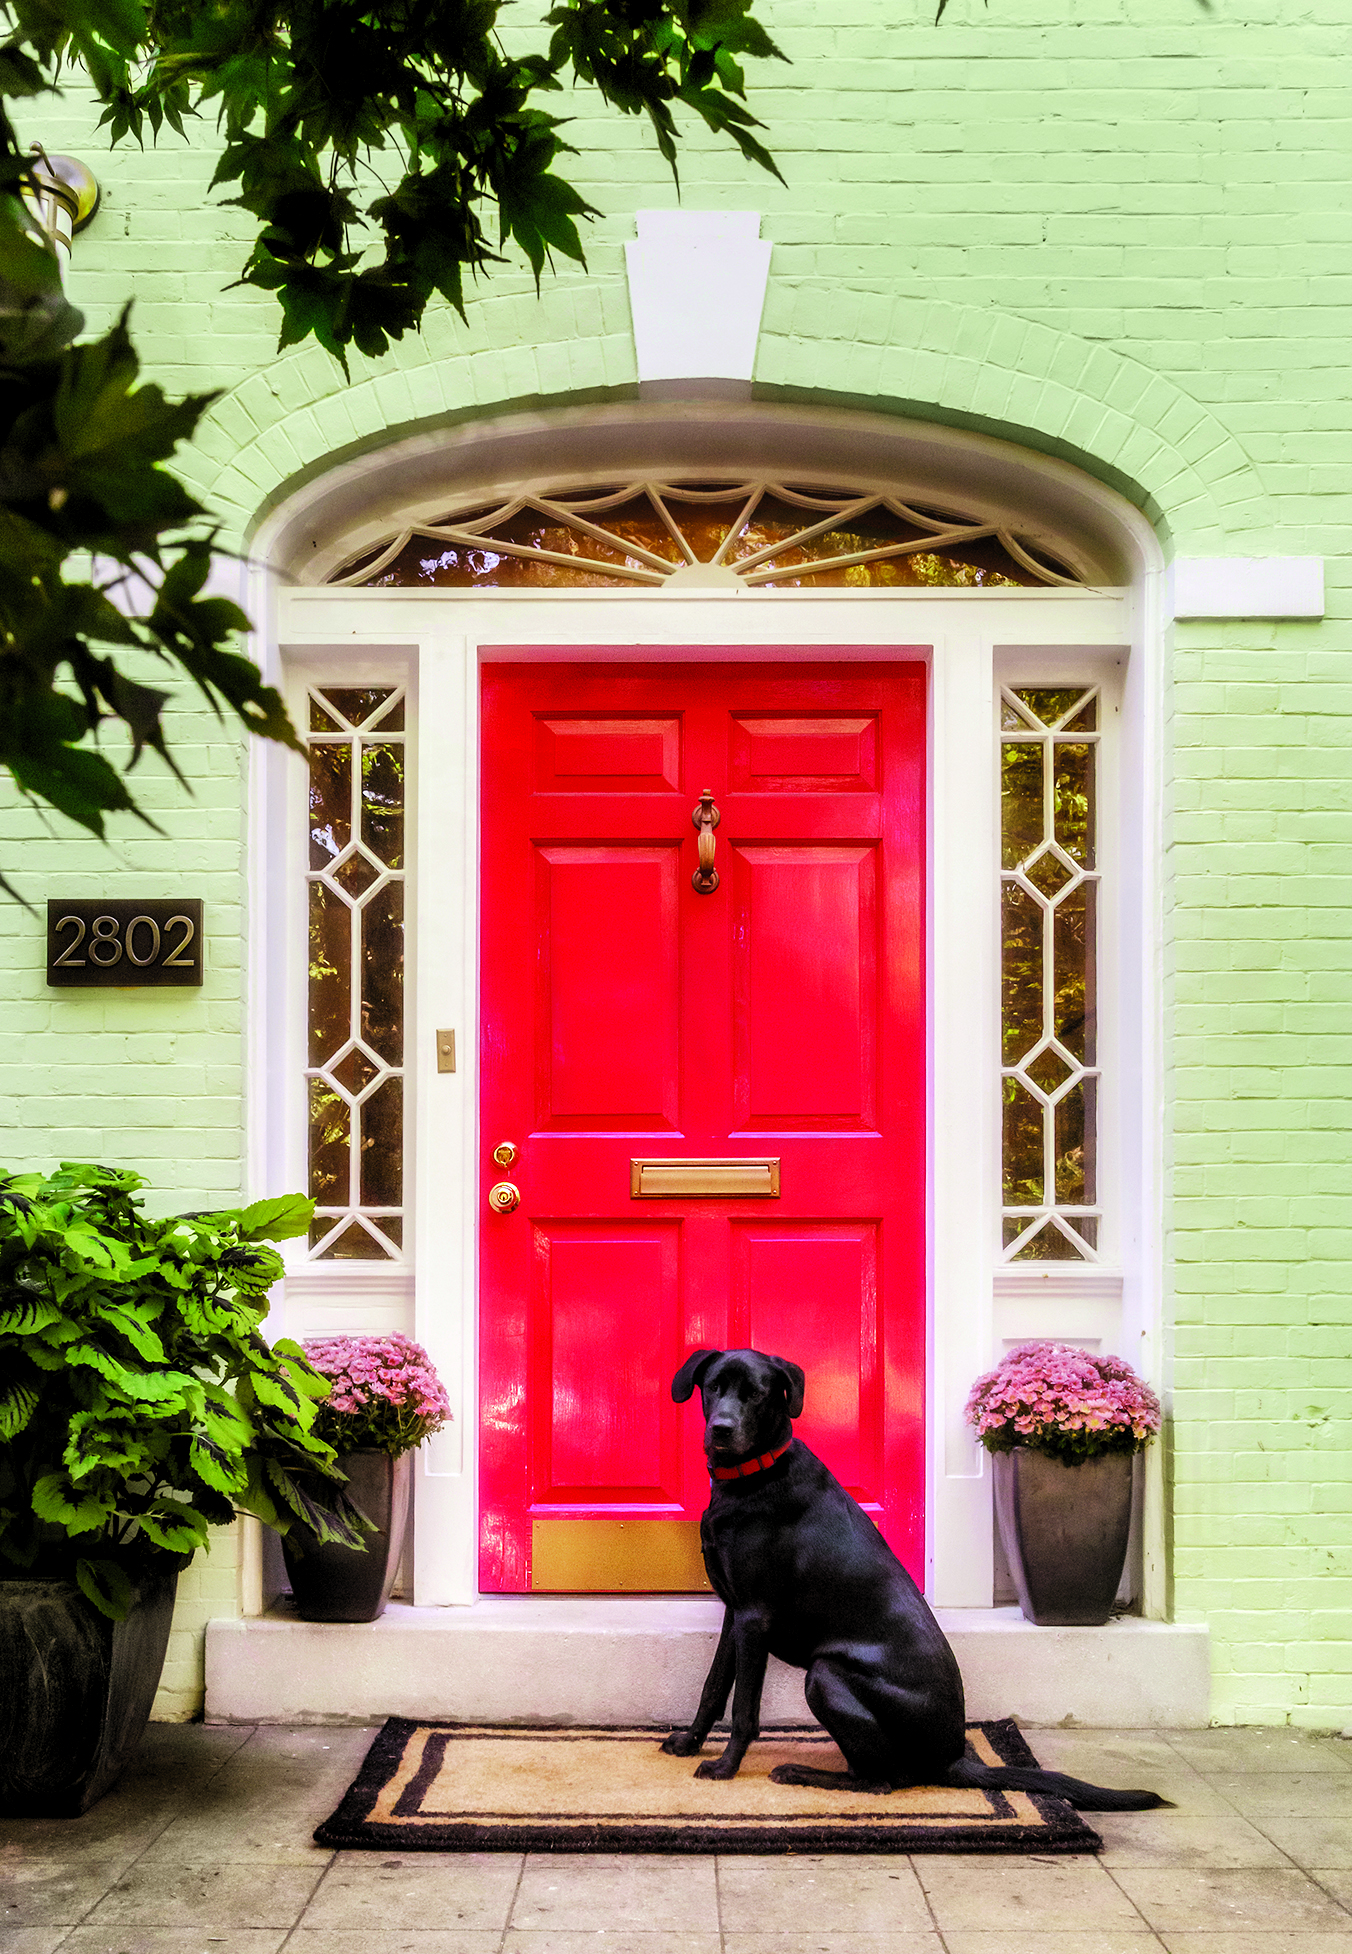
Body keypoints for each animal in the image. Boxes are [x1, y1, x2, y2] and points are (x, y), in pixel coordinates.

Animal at [660, 1352, 1164, 1805]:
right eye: (714, 1388)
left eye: (758, 1394)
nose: (721, 1429)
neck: (752, 1475)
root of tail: (953, 1759)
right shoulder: (735, 1615)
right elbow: (713, 1688)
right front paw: (688, 1744)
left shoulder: (754, 1617)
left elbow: (743, 1707)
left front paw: (726, 1768)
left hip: (825, 1675)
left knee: (880, 1780)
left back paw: (799, 1772)